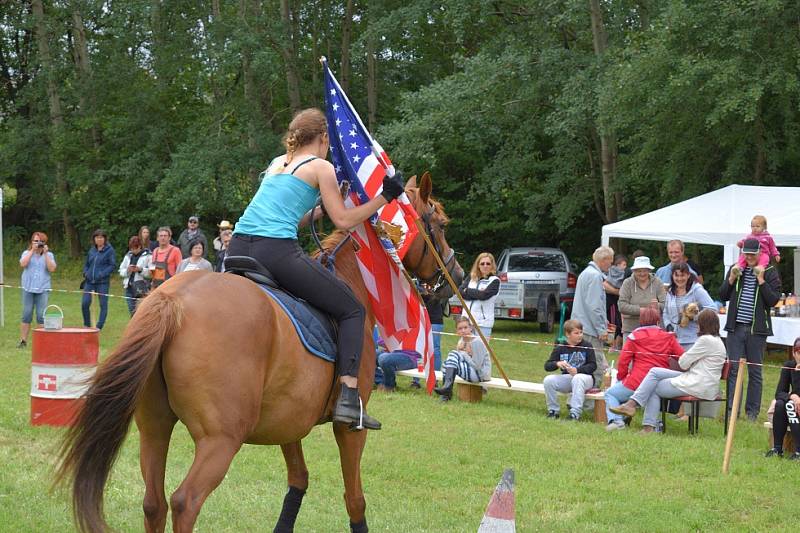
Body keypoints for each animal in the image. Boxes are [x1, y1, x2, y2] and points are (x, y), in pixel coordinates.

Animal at [57, 172, 462, 528]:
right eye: (441, 224)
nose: (456, 275)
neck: (354, 277)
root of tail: (172, 300)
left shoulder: (289, 423)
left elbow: (298, 482)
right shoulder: (349, 429)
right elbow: (355, 500)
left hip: (155, 427)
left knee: (153, 503)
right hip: (220, 439)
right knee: (185, 502)